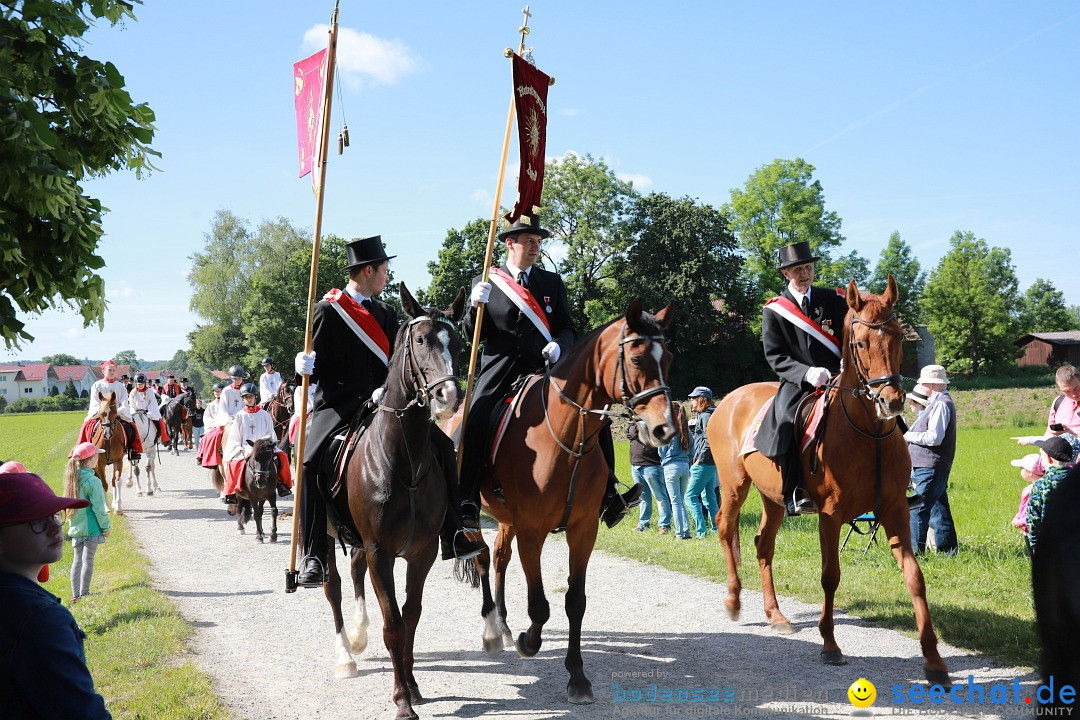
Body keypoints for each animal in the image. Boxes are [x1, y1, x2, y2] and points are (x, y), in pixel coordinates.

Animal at [321, 282, 470, 720]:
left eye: (458, 342)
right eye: (420, 340)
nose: (448, 395)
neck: (404, 461)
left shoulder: (422, 553)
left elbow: (411, 617)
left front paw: (414, 686)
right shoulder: (380, 552)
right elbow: (394, 625)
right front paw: (402, 699)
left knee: (353, 574)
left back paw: (357, 635)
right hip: (324, 532)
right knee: (333, 584)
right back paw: (345, 655)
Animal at [464, 297, 673, 703]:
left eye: (668, 357)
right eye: (637, 359)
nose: (664, 429)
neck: (563, 436)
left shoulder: (583, 528)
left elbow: (575, 602)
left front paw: (577, 676)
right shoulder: (532, 531)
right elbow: (540, 606)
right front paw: (530, 642)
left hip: (505, 518)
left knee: (498, 556)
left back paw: (504, 622)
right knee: (481, 557)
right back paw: (493, 630)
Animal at [704, 278, 950, 686]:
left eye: (899, 337)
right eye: (861, 343)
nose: (892, 401)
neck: (869, 434)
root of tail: (728, 400)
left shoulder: (895, 511)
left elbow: (916, 578)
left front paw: (934, 661)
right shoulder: (830, 515)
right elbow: (830, 576)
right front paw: (830, 644)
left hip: (774, 498)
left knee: (763, 544)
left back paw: (776, 615)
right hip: (734, 485)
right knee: (726, 529)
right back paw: (734, 600)